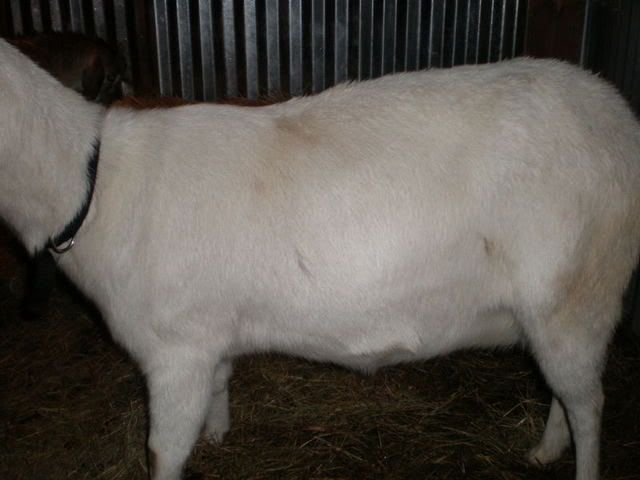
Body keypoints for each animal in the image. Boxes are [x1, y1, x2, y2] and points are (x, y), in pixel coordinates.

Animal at [0, 39, 638, 480]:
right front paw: (219, 434)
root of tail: (617, 116)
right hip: (554, 312)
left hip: (578, 294)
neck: (89, 185)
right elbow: (221, 384)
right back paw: (543, 451)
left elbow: (163, 452)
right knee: (562, 391)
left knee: (589, 403)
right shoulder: (208, 333)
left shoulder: (174, 349)